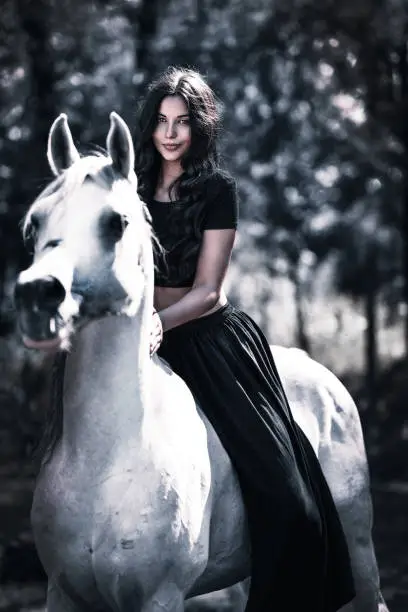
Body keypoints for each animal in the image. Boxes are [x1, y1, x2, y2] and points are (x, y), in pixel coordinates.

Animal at [13, 111, 388, 612]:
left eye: (116, 223)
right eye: (35, 224)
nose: (37, 296)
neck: (106, 455)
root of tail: (326, 379)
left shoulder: (160, 597)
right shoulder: (63, 592)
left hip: (359, 551)